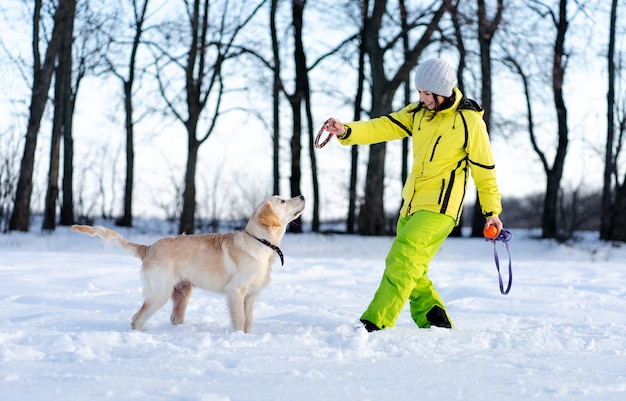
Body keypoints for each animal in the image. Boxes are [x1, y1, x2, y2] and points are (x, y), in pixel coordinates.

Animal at [71, 194, 304, 332]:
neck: (260, 242)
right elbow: (239, 321)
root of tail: (148, 248)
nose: (302, 195)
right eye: (282, 201)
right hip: (159, 292)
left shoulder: (251, 295)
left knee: (174, 318)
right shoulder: (235, 291)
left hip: (182, 292)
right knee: (137, 318)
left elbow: (248, 322)